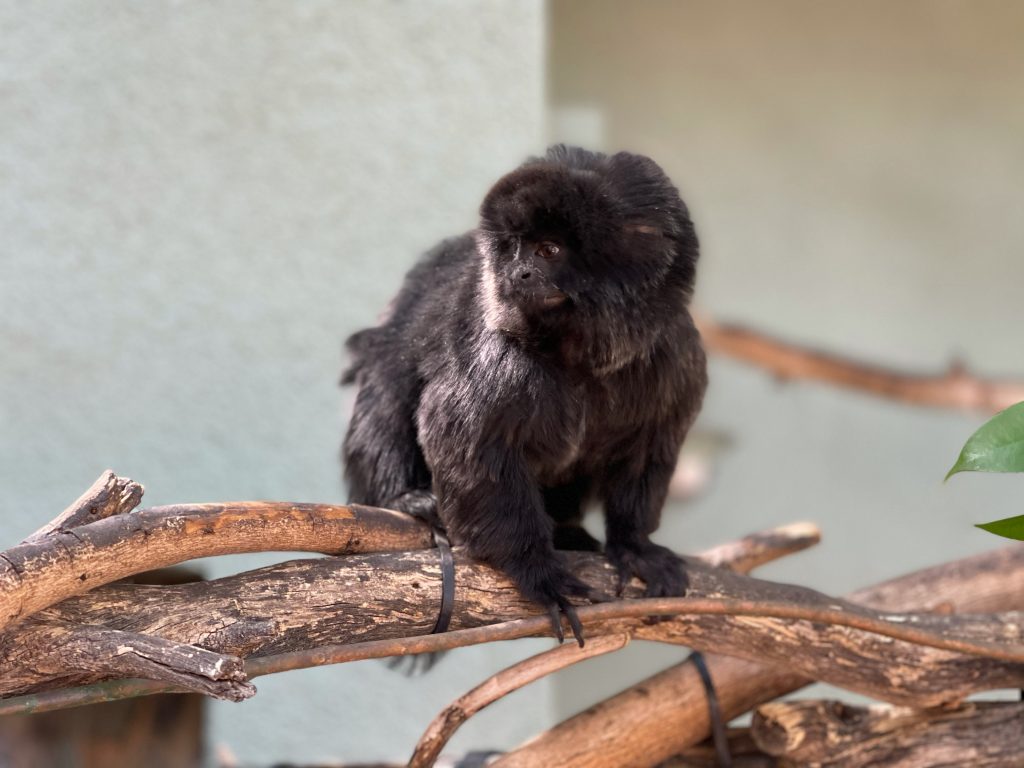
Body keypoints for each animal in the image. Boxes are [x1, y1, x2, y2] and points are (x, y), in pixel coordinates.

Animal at [341, 145, 707, 646]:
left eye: (548, 250)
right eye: (514, 248)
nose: (519, 273)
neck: (580, 357)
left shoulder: (672, 355)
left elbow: (650, 448)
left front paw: (635, 546)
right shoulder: (498, 355)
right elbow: (468, 443)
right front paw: (536, 570)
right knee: (386, 383)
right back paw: (403, 498)